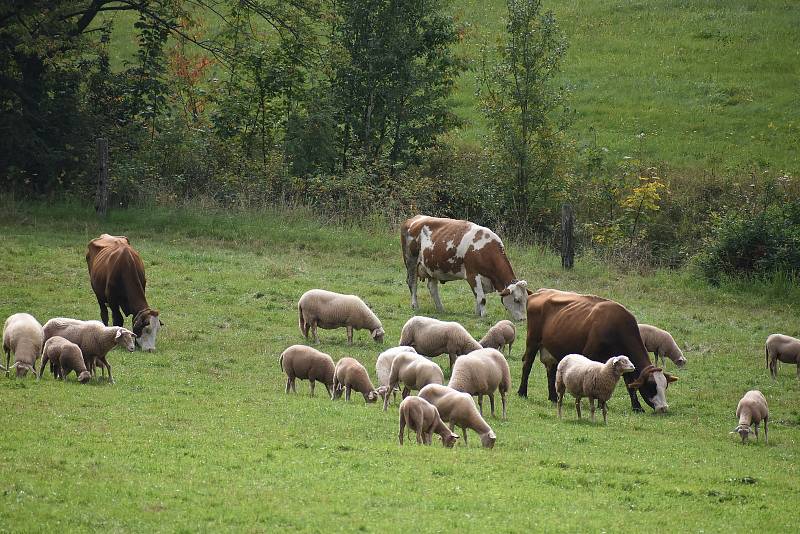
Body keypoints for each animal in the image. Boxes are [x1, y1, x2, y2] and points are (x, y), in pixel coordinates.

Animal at [516, 288, 680, 414]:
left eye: (665, 386)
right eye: (652, 386)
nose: (663, 408)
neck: (617, 329)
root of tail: (539, 292)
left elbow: (630, 385)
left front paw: (637, 407)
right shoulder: (590, 356)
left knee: (551, 370)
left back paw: (553, 397)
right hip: (532, 341)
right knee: (527, 364)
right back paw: (522, 392)